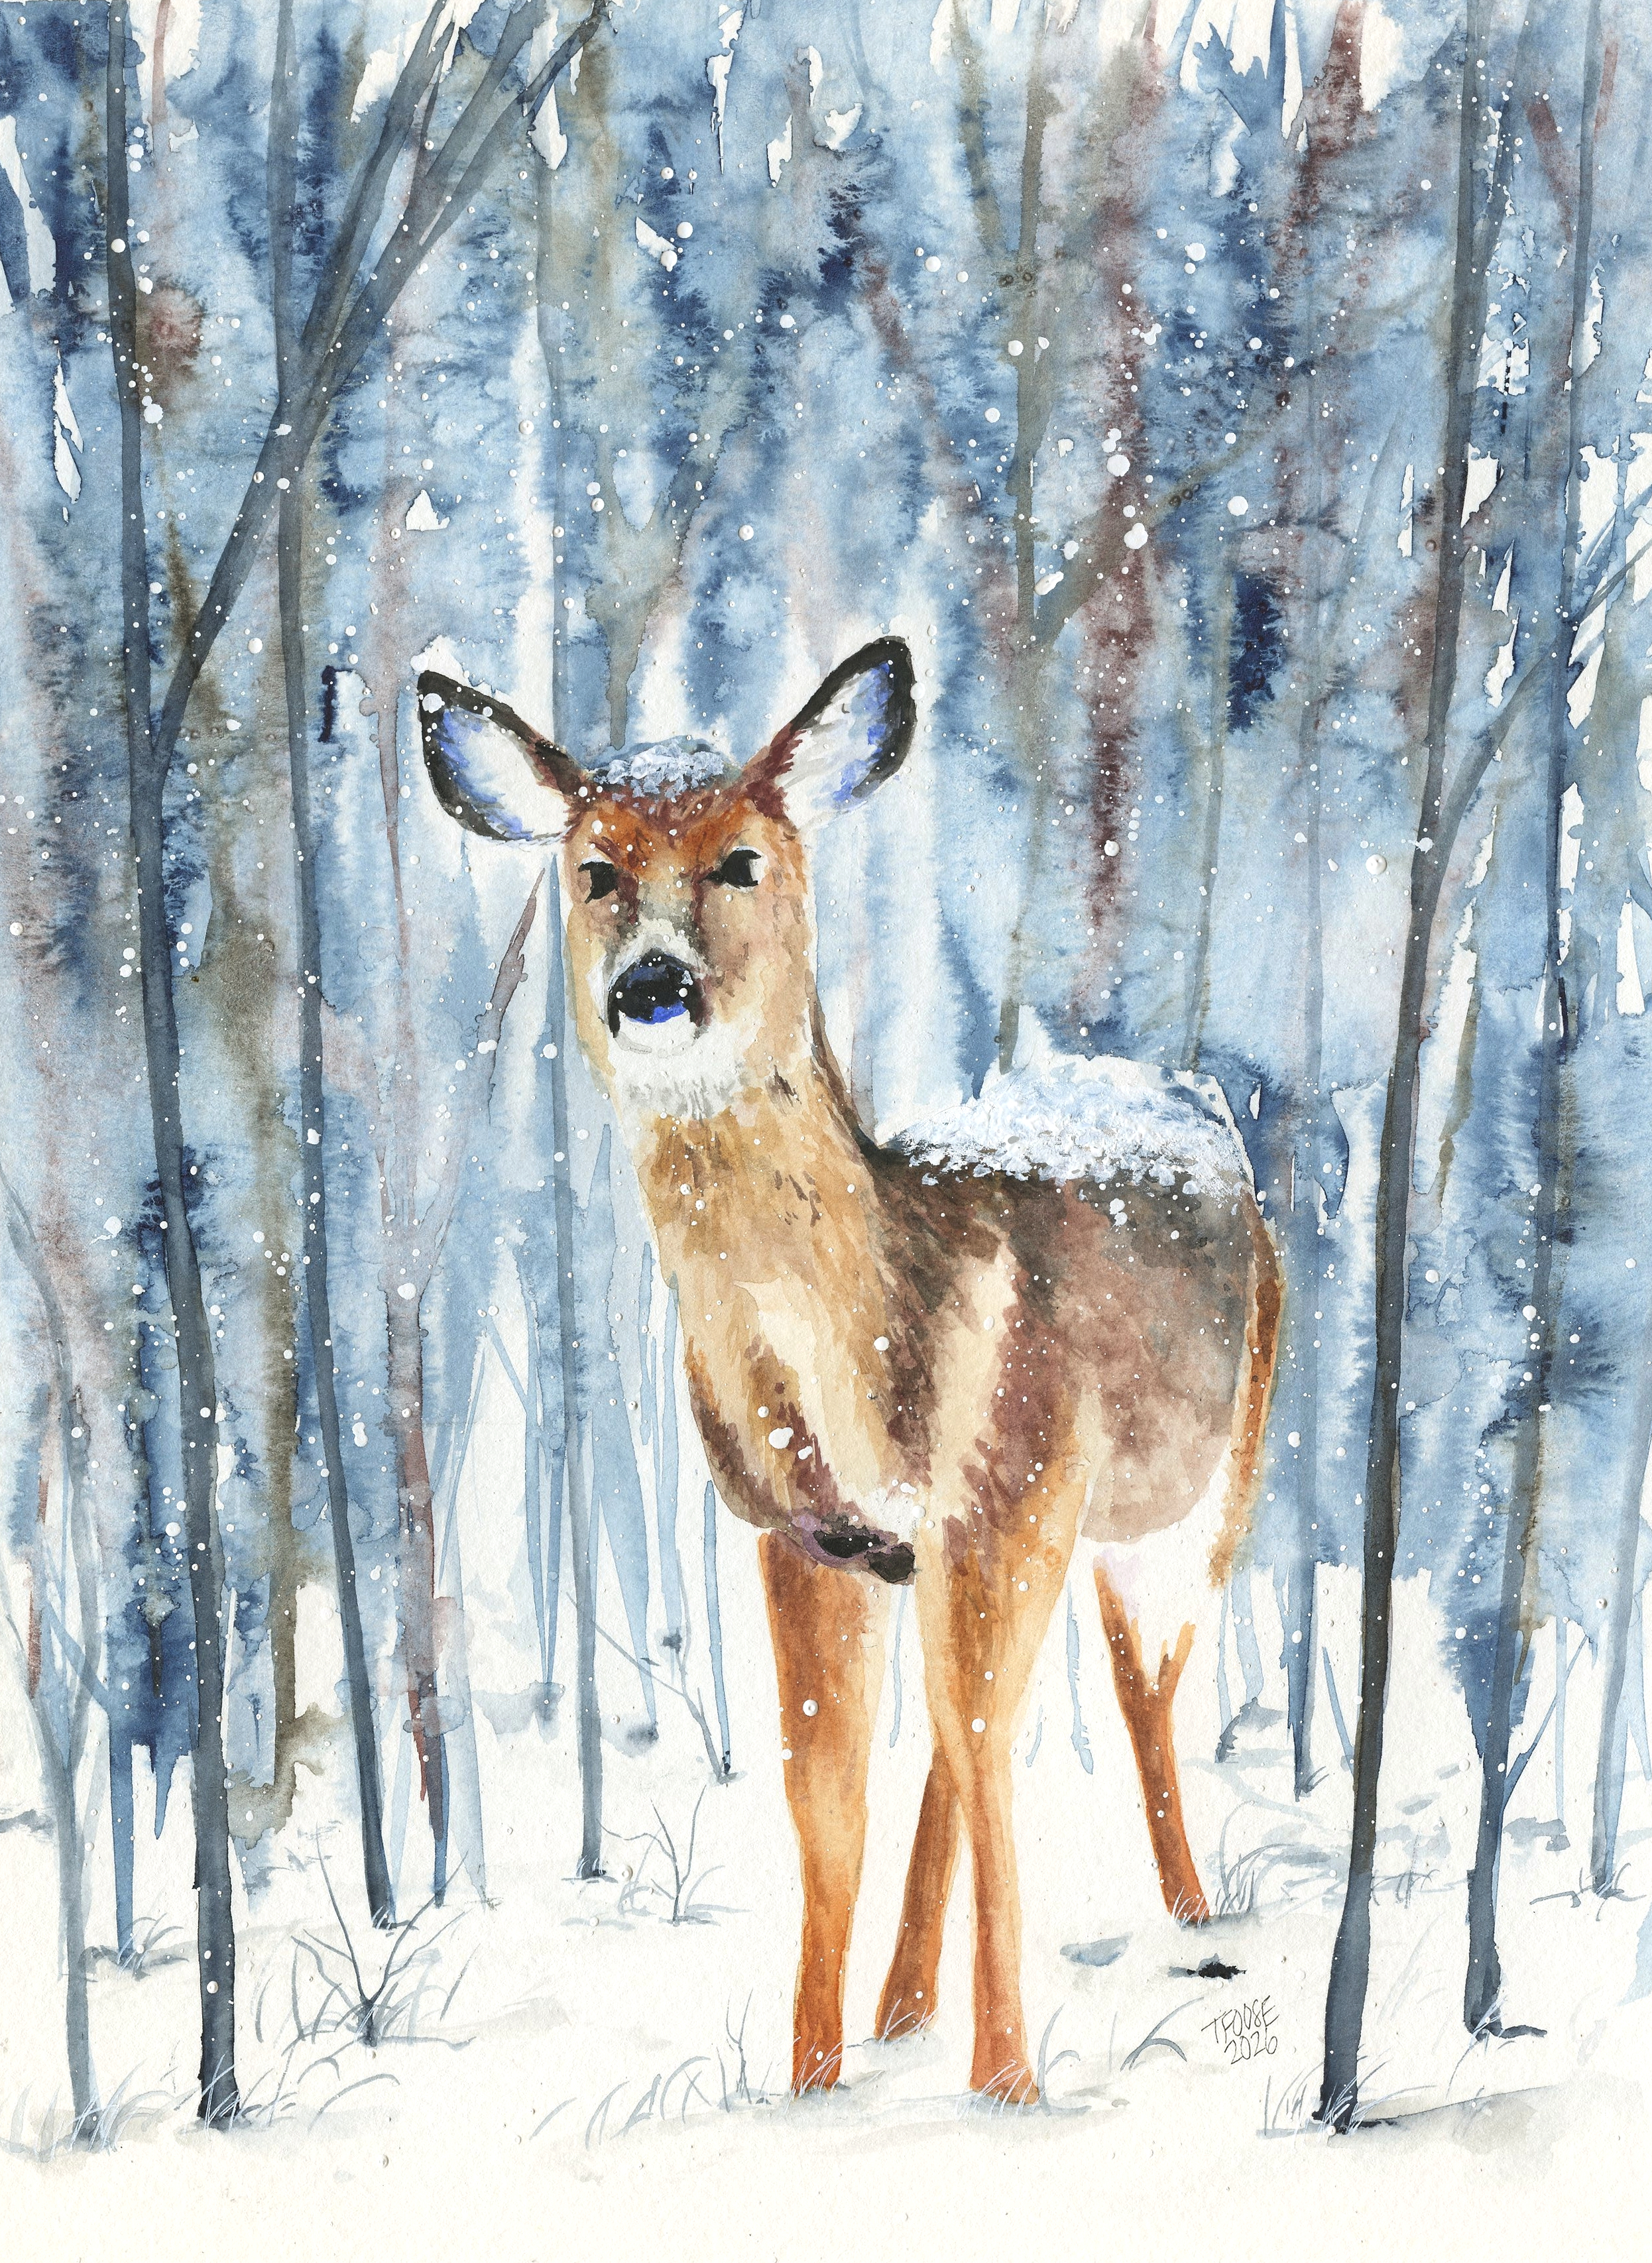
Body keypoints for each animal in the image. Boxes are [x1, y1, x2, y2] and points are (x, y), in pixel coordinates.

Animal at [417, 636, 1281, 2104]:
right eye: (594, 869)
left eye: (740, 859)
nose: (651, 986)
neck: (873, 1360)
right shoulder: (807, 1534)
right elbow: (826, 1799)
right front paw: (813, 2077)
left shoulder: (1015, 1488)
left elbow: (988, 1762)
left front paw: (1006, 2088)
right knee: (962, 1731)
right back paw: (903, 2003)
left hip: (1197, 1488)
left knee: (1140, 1685)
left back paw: (1187, 1916)